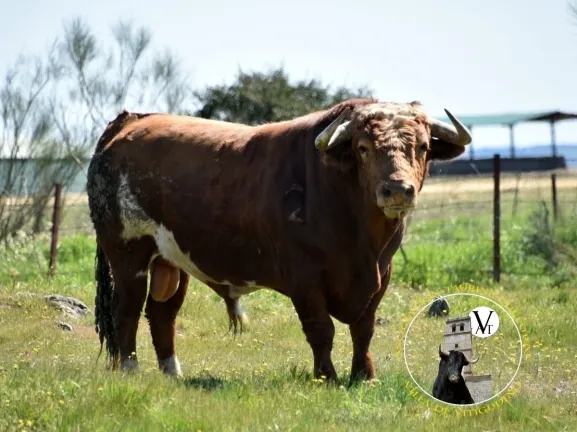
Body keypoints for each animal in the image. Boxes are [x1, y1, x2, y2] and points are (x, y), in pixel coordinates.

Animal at [86, 98, 472, 385]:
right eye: (363, 148)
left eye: (423, 147)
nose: (397, 190)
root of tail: (129, 122)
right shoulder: (304, 277)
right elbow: (321, 330)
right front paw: (327, 378)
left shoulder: (381, 275)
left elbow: (364, 329)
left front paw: (365, 376)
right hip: (128, 253)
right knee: (127, 310)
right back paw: (129, 370)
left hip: (171, 259)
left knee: (162, 312)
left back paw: (172, 374)